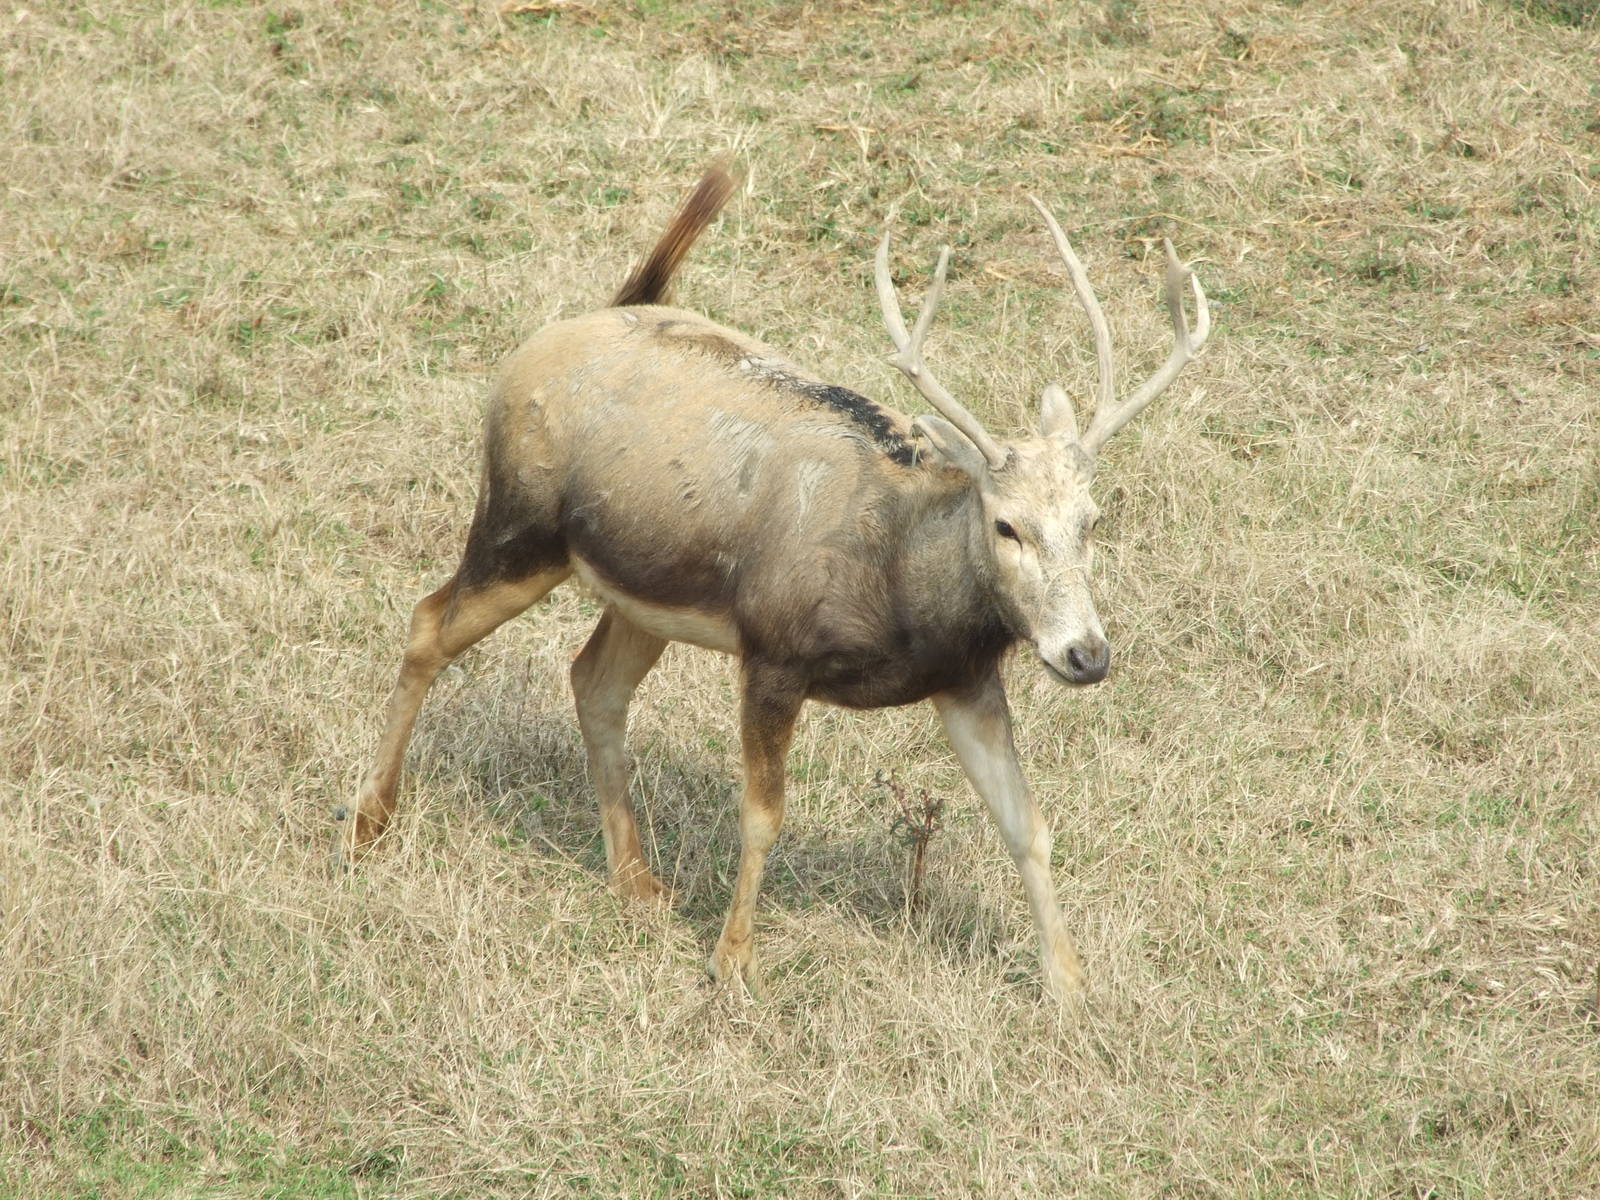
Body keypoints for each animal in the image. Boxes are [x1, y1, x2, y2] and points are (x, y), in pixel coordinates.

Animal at [346, 166, 1209, 1003]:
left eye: (1093, 519)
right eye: (1006, 525)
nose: (1086, 654)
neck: (901, 588)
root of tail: (564, 330)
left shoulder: (964, 676)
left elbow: (1026, 822)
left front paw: (1071, 989)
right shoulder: (773, 650)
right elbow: (762, 814)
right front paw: (733, 965)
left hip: (638, 592)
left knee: (592, 680)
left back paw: (636, 883)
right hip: (518, 526)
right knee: (428, 623)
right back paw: (368, 820)